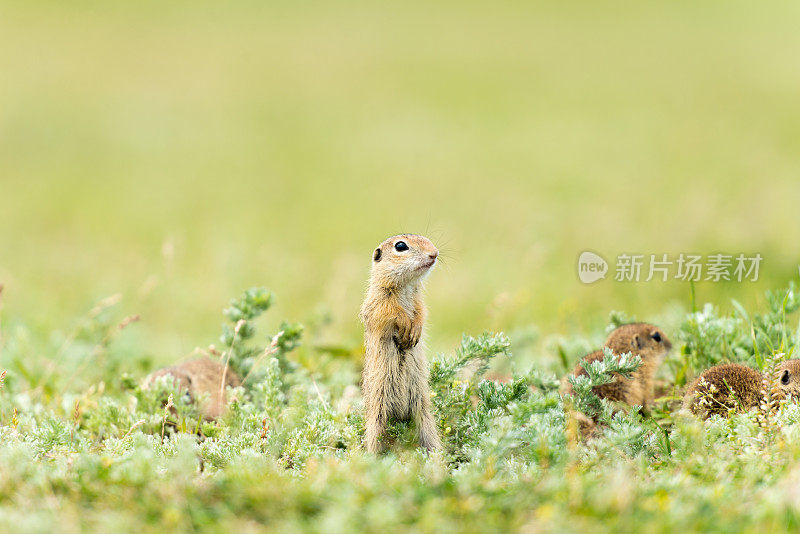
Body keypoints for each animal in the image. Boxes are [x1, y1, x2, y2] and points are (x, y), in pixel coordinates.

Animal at [360, 236, 440, 456]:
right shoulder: (378, 301)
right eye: (401, 246)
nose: (434, 253)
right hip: (376, 419)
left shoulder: (418, 300)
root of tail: (401, 418)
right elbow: (391, 312)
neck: (406, 286)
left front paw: (414, 332)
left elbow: (421, 312)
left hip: (425, 417)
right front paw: (405, 325)